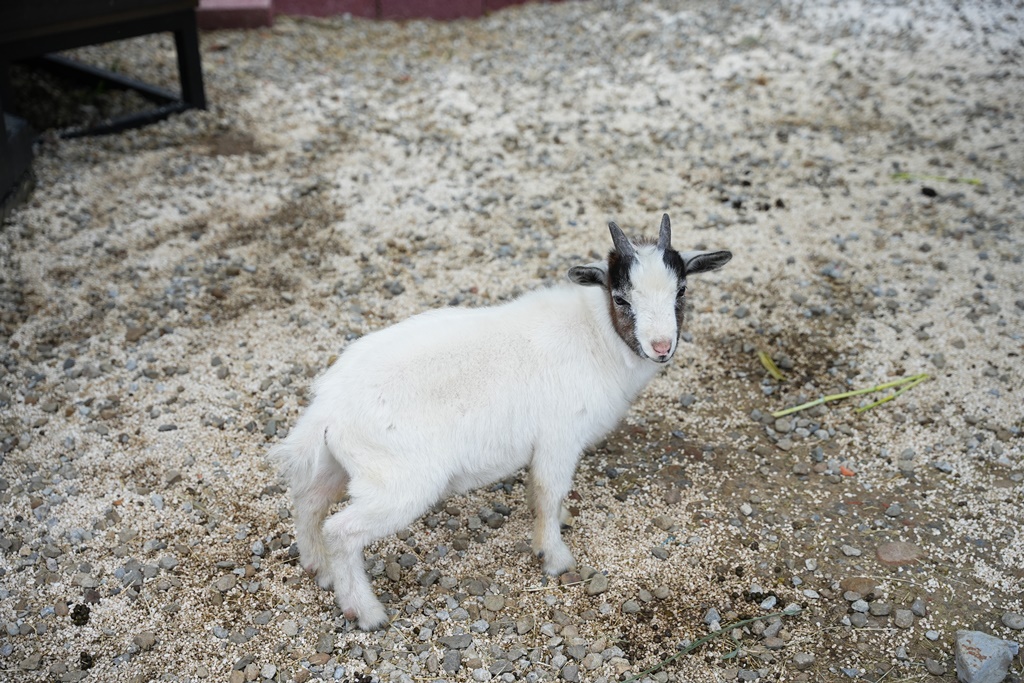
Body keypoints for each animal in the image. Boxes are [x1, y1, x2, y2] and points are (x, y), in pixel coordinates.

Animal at [274, 215, 729, 630]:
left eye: (681, 290)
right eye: (621, 298)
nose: (661, 347)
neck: (596, 336)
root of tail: (329, 407)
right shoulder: (560, 437)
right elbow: (549, 490)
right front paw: (554, 556)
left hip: (338, 465)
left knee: (308, 502)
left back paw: (319, 570)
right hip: (399, 484)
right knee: (340, 530)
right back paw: (366, 612)